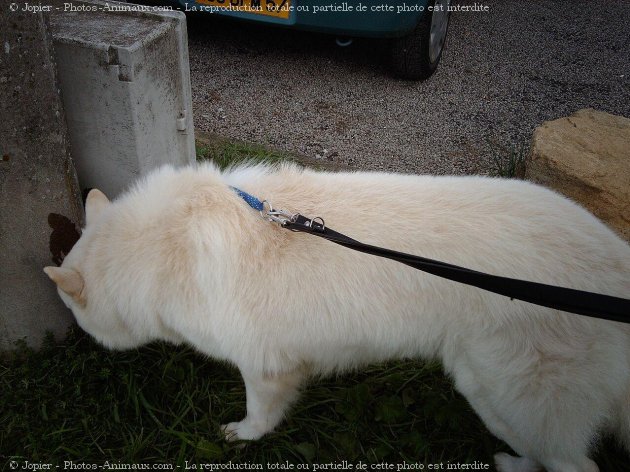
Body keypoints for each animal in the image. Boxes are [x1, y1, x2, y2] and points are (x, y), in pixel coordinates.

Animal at [45, 163, 630, 472]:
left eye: (74, 313)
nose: (77, 343)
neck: (163, 249)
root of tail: (618, 264)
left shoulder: (264, 368)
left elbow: (259, 416)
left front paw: (244, 436)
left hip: (503, 392)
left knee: (573, 463)